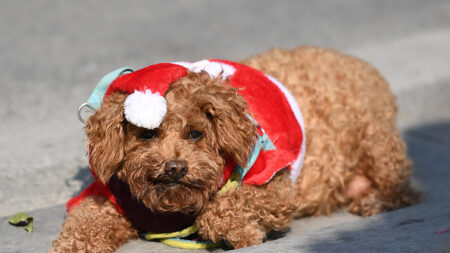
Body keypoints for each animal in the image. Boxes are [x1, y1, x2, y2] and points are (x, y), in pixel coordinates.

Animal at [48, 46, 418, 252]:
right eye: (146, 135)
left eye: (196, 134)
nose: (174, 167)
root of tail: (360, 64)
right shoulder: (107, 197)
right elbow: (83, 221)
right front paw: (72, 246)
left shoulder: (275, 185)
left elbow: (223, 206)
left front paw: (240, 230)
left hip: (376, 141)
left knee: (405, 189)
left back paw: (374, 201)